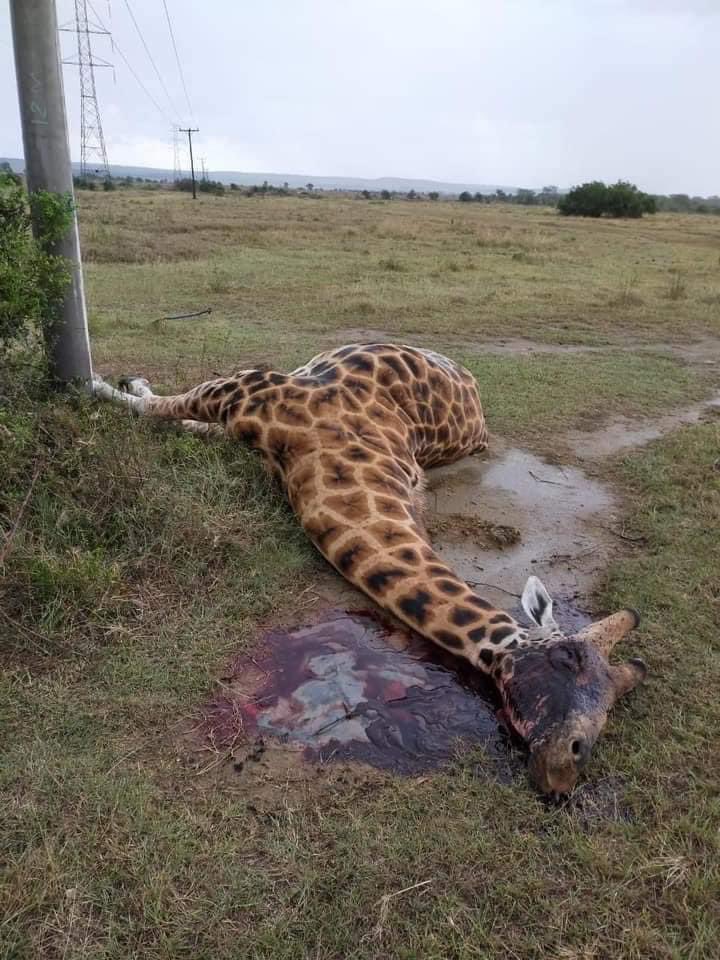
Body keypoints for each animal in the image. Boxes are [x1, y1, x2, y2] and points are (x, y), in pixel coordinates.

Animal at [93, 343, 646, 795]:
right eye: (567, 658)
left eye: (613, 702)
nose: (563, 772)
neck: (319, 449)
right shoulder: (249, 385)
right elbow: (156, 409)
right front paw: (98, 383)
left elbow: (168, 413)